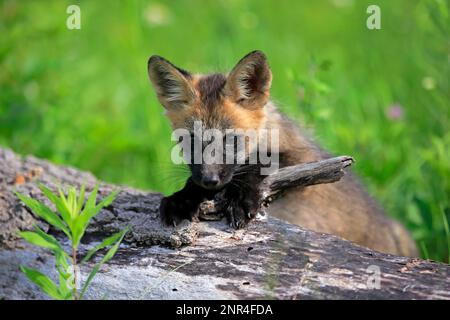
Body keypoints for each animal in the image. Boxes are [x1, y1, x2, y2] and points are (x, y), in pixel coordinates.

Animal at [149, 50, 418, 258]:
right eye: (189, 140)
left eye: (231, 140)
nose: (210, 181)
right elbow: (191, 183)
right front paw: (182, 199)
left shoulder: (305, 162)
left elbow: (263, 163)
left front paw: (240, 199)